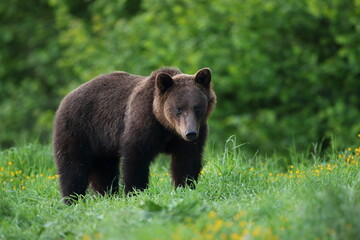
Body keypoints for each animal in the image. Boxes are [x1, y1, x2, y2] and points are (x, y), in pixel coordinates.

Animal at [53, 67, 215, 204]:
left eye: (197, 108)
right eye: (178, 109)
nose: (190, 133)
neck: (166, 126)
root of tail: (67, 97)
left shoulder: (190, 135)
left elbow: (187, 161)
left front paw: (185, 187)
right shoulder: (142, 123)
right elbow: (136, 159)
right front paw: (135, 192)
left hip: (103, 144)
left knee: (104, 170)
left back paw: (106, 194)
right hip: (79, 129)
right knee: (74, 167)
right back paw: (72, 199)